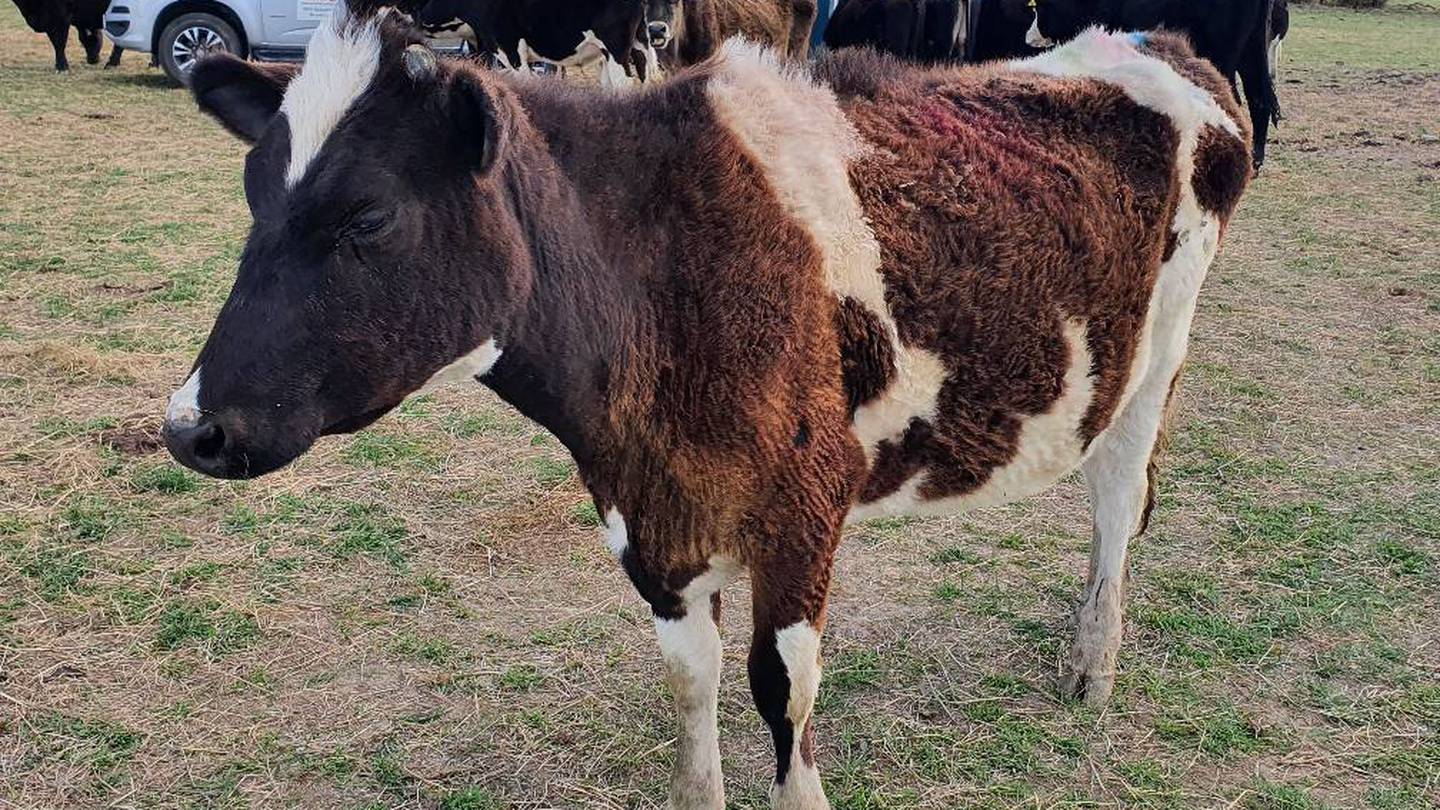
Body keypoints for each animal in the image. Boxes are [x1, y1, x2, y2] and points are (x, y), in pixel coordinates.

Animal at [165, 4, 1249, 801]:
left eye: (368, 217)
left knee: (1119, 505)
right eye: (254, 195)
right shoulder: (648, 515)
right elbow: (692, 675)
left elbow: (781, 686)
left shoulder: (806, 505)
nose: (190, 426)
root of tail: (1153, 42)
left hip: (1155, 359)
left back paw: (1093, 663)